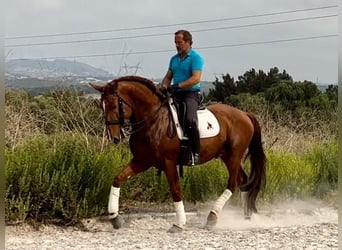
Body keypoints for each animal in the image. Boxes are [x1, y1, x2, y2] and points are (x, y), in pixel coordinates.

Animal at [89, 75, 266, 232]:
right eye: (101, 107)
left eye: (113, 106)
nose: (114, 137)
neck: (152, 120)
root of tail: (245, 114)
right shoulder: (141, 161)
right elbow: (118, 179)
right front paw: (114, 218)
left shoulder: (169, 163)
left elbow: (175, 190)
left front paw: (179, 224)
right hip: (227, 156)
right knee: (243, 180)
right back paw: (246, 217)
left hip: (233, 156)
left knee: (233, 182)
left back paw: (213, 216)